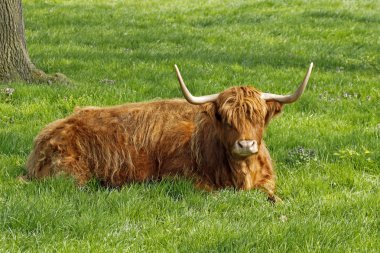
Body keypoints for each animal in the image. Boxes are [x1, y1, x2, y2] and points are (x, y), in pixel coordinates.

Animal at [26, 64, 312, 203]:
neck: (241, 173)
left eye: (258, 117)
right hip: (73, 174)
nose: (246, 145)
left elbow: (273, 196)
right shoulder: (181, 178)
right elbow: (217, 193)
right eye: (225, 118)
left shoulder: (268, 180)